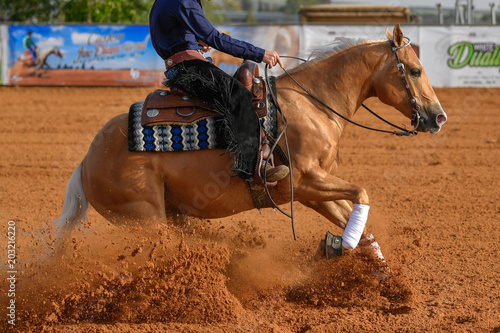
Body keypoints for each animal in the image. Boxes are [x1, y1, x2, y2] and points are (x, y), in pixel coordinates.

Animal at [52, 26, 448, 258]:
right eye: (415, 71)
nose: (439, 117)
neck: (313, 104)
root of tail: (87, 161)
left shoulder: (310, 191)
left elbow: (357, 220)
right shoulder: (305, 179)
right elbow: (363, 193)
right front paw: (342, 246)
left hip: (171, 214)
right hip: (145, 219)